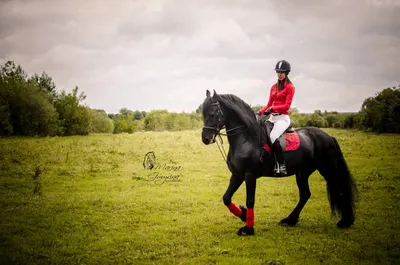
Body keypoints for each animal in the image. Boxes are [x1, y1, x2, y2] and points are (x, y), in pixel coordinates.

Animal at [202, 89, 358, 235]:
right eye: (203, 114)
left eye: (213, 113)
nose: (205, 139)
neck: (246, 139)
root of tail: (328, 136)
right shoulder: (238, 175)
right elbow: (226, 198)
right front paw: (244, 215)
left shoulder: (250, 175)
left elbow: (250, 200)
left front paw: (248, 228)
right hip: (302, 173)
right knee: (305, 194)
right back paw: (290, 220)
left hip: (328, 169)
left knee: (339, 189)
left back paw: (345, 221)